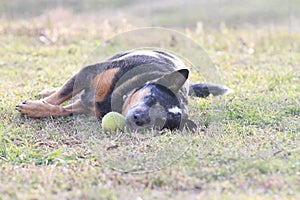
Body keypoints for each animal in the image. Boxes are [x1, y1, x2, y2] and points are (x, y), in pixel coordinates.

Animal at [16, 50, 231, 130]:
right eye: (152, 98)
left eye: (160, 123)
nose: (139, 118)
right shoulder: (89, 73)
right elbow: (59, 96)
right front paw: (39, 104)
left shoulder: (85, 108)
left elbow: (60, 109)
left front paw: (36, 109)